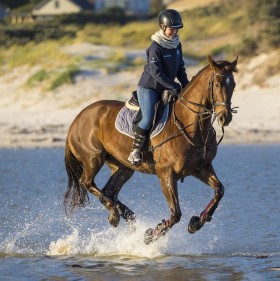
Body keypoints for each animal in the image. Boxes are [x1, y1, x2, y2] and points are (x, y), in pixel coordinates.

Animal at [64, 54, 238, 243]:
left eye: (233, 85)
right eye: (217, 84)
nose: (225, 117)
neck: (192, 126)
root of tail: (77, 118)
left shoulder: (201, 168)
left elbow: (219, 190)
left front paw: (196, 223)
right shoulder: (166, 173)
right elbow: (176, 213)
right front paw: (151, 235)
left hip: (123, 167)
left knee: (109, 191)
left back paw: (125, 217)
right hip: (93, 158)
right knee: (87, 182)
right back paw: (115, 215)